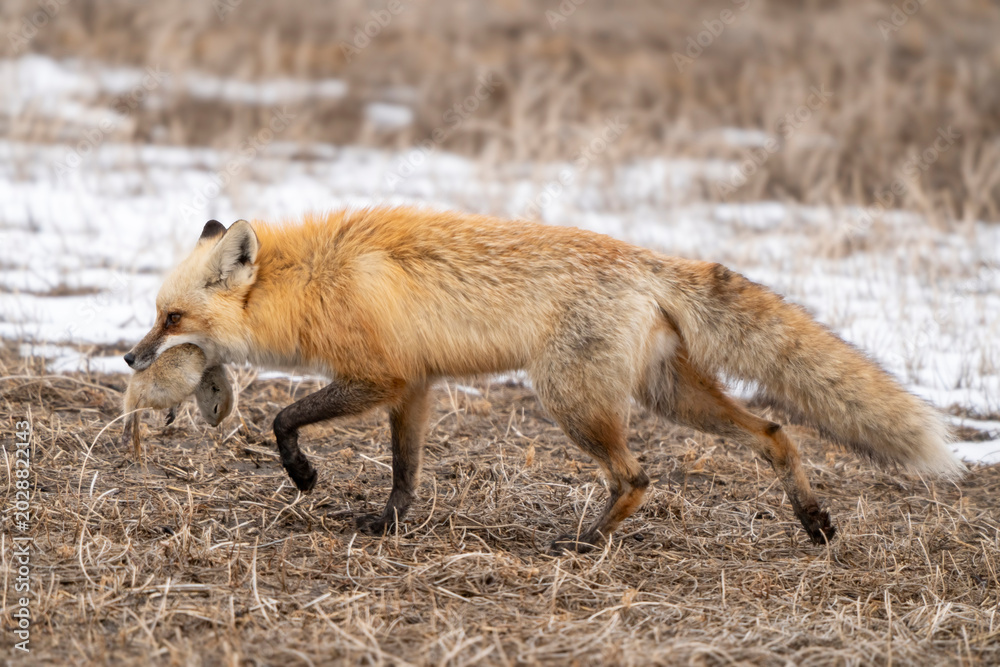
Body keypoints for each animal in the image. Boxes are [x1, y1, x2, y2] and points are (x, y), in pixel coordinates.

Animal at [123, 208, 963, 552]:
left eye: (170, 317)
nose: (130, 359)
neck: (311, 279)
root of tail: (646, 260)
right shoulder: (417, 386)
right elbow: (404, 471)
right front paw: (388, 524)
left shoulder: (381, 375)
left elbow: (284, 418)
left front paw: (302, 473)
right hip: (669, 395)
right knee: (775, 432)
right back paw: (812, 518)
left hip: (572, 400)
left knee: (638, 474)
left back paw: (585, 541)